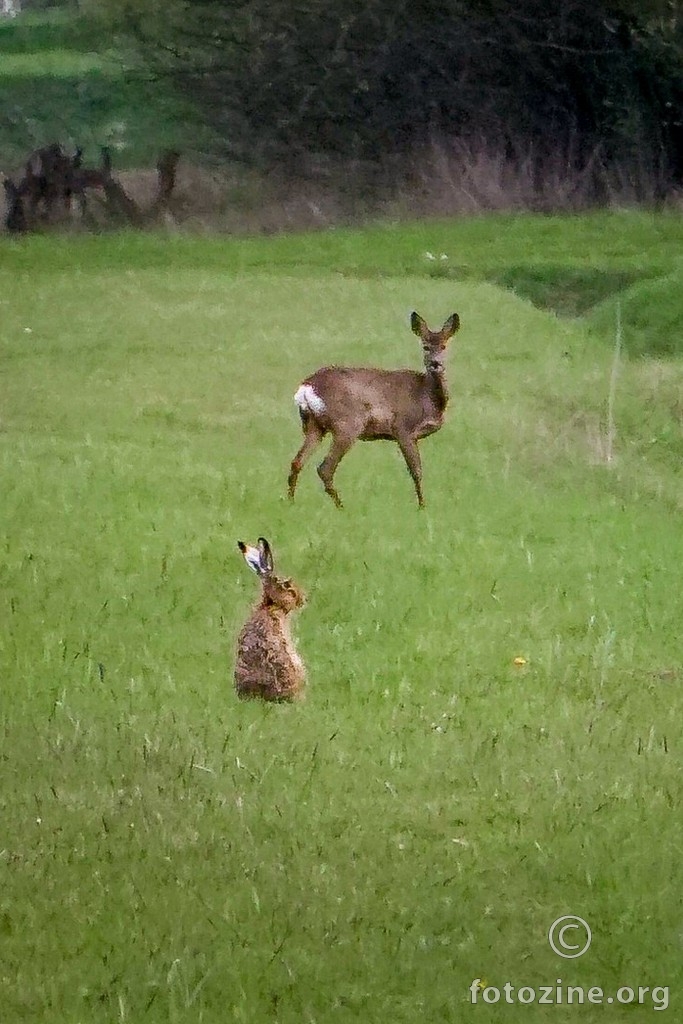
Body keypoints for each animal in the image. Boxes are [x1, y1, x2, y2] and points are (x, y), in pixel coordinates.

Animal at [286, 307, 462, 507]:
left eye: (444, 346)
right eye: (425, 347)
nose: (435, 364)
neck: (427, 396)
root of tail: (306, 386)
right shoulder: (403, 428)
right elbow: (416, 471)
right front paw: (422, 506)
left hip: (314, 425)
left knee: (297, 462)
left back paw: (291, 502)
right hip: (347, 424)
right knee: (325, 468)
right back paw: (342, 507)